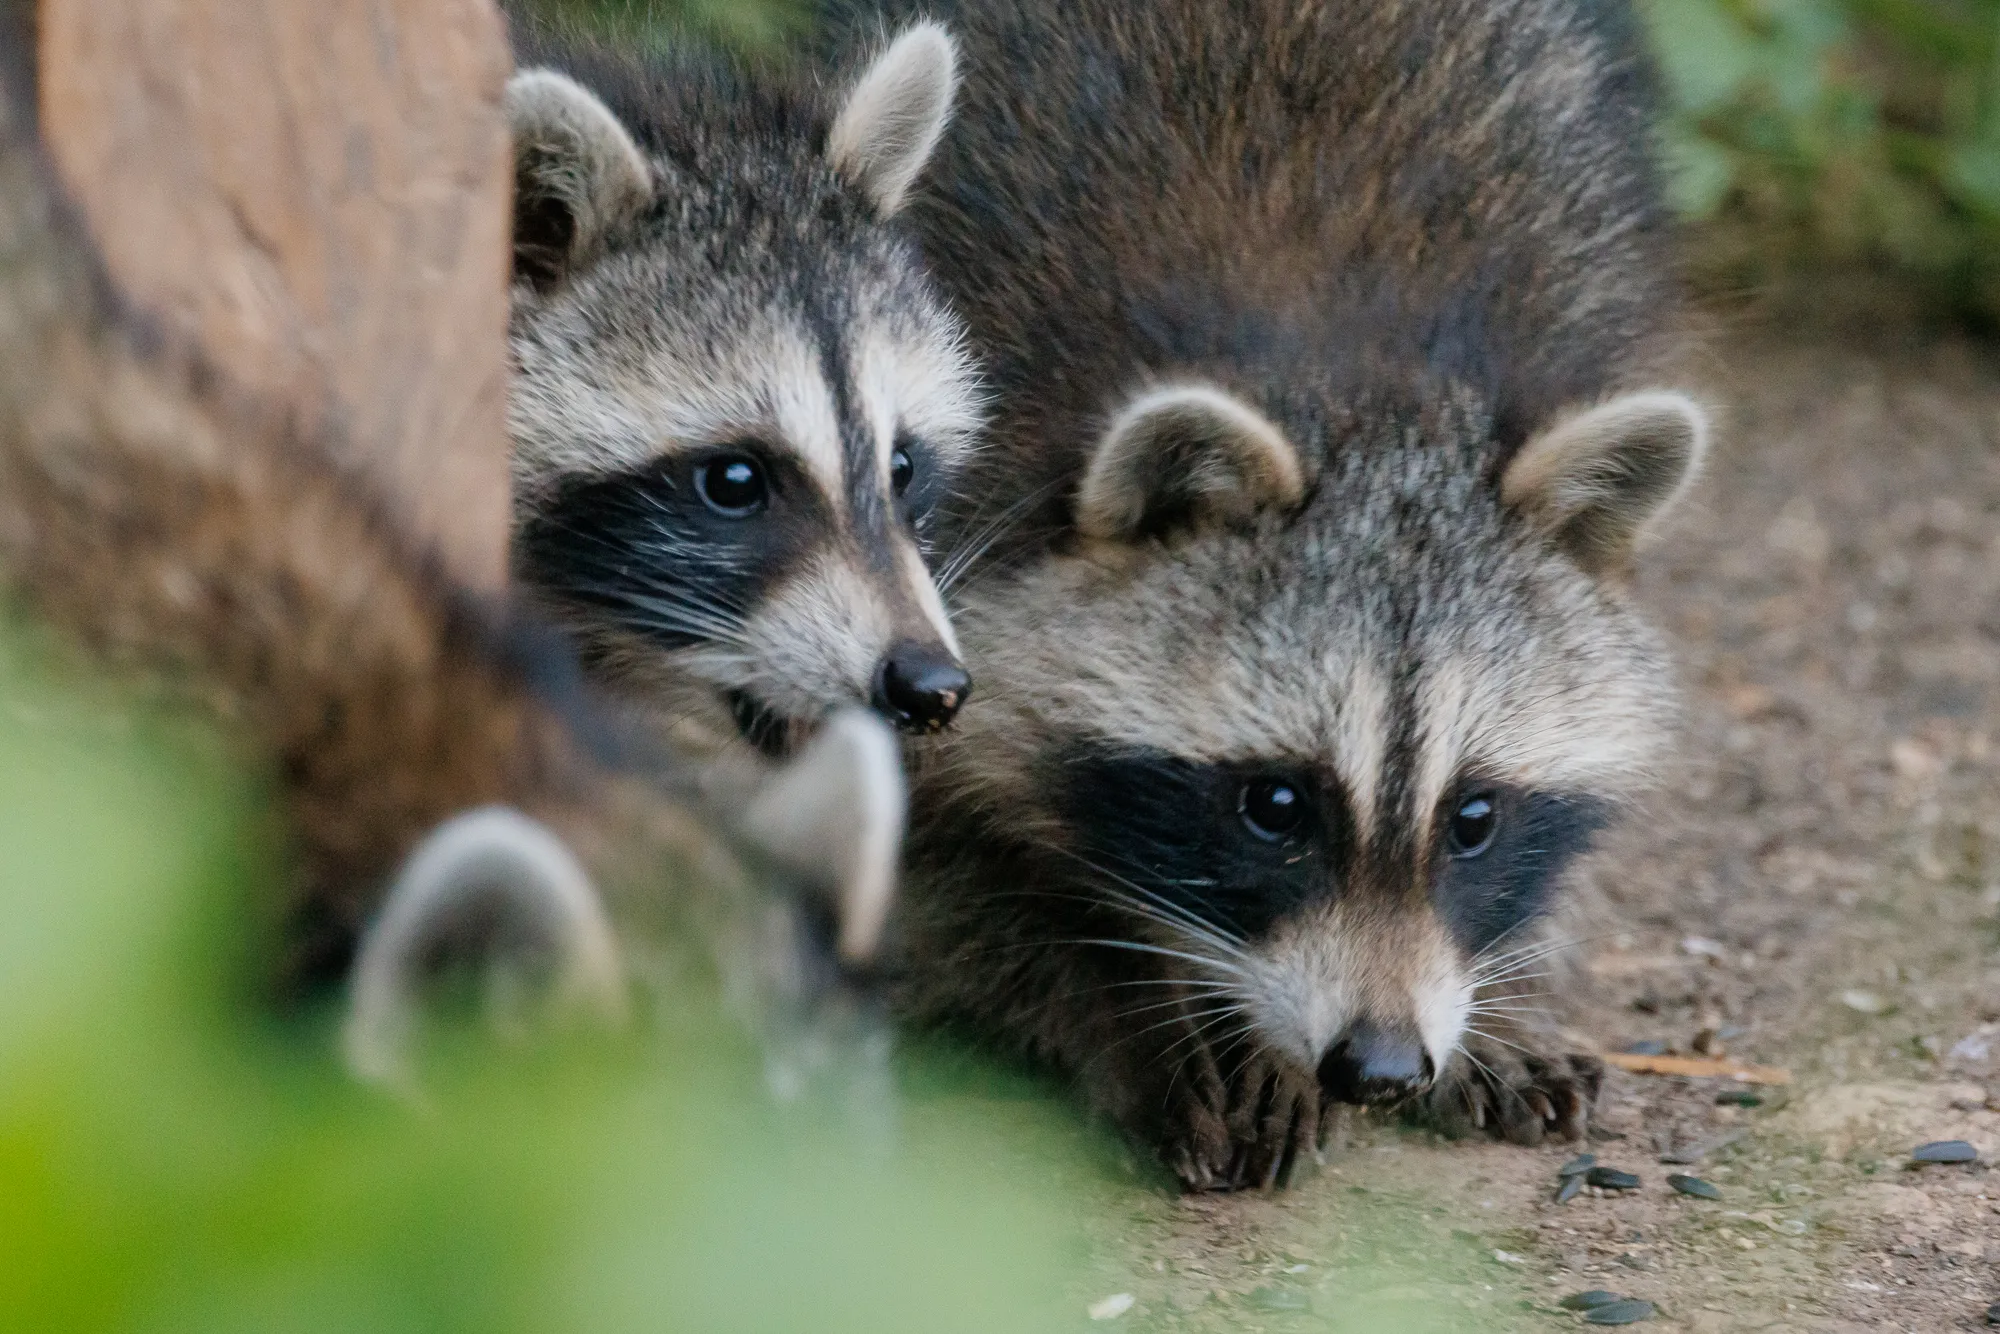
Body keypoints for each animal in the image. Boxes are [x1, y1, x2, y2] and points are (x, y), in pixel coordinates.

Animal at [848, 0, 1711, 1188]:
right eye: (1274, 805)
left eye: (1474, 818)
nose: (1380, 1065)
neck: (1349, 373)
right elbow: (954, 863)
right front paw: (1133, 1012)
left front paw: (1504, 994)